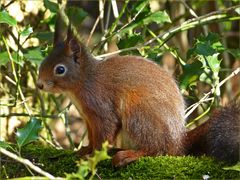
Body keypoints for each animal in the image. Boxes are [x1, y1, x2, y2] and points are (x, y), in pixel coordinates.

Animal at [36, 16, 239, 167]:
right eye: (43, 60)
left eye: (60, 69)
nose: (39, 85)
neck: (84, 81)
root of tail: (178, 142)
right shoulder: (88, 118)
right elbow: (93, 137)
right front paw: (85, 149)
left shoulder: (101, 108)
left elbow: (105, 135)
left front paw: (94, 156)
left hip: (138, 114)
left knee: (156, 149)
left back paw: (130, 155)